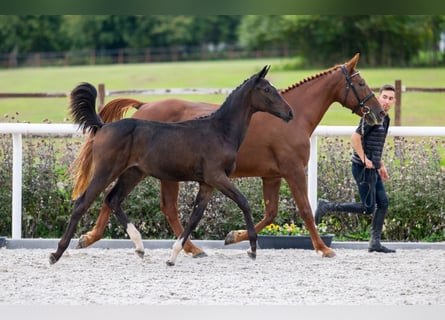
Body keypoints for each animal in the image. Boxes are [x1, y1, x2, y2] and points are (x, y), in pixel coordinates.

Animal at [49, 65, 292, 264]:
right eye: (267, 90)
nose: (290, 113)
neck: (220, 131)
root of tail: (103, 126)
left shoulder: (207, 183)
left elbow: (194, 217)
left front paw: (174, 255)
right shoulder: (217, 177)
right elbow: (243, 202)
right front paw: (252, 249)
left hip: (133, 173)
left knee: (113, 199)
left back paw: (140, 247)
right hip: (106, 171)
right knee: (83, 203)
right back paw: (56, 253)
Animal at [72, 52, 382, 258]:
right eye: (361, 83)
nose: (378, 113)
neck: (291, 119)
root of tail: (143, 107)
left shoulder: (272, 176)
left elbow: (270, 212)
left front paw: (234, 237)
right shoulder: (293, 171)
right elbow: (305, 209)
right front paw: (323, 248)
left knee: (124, 200)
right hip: (153, 173)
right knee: (143, 203)